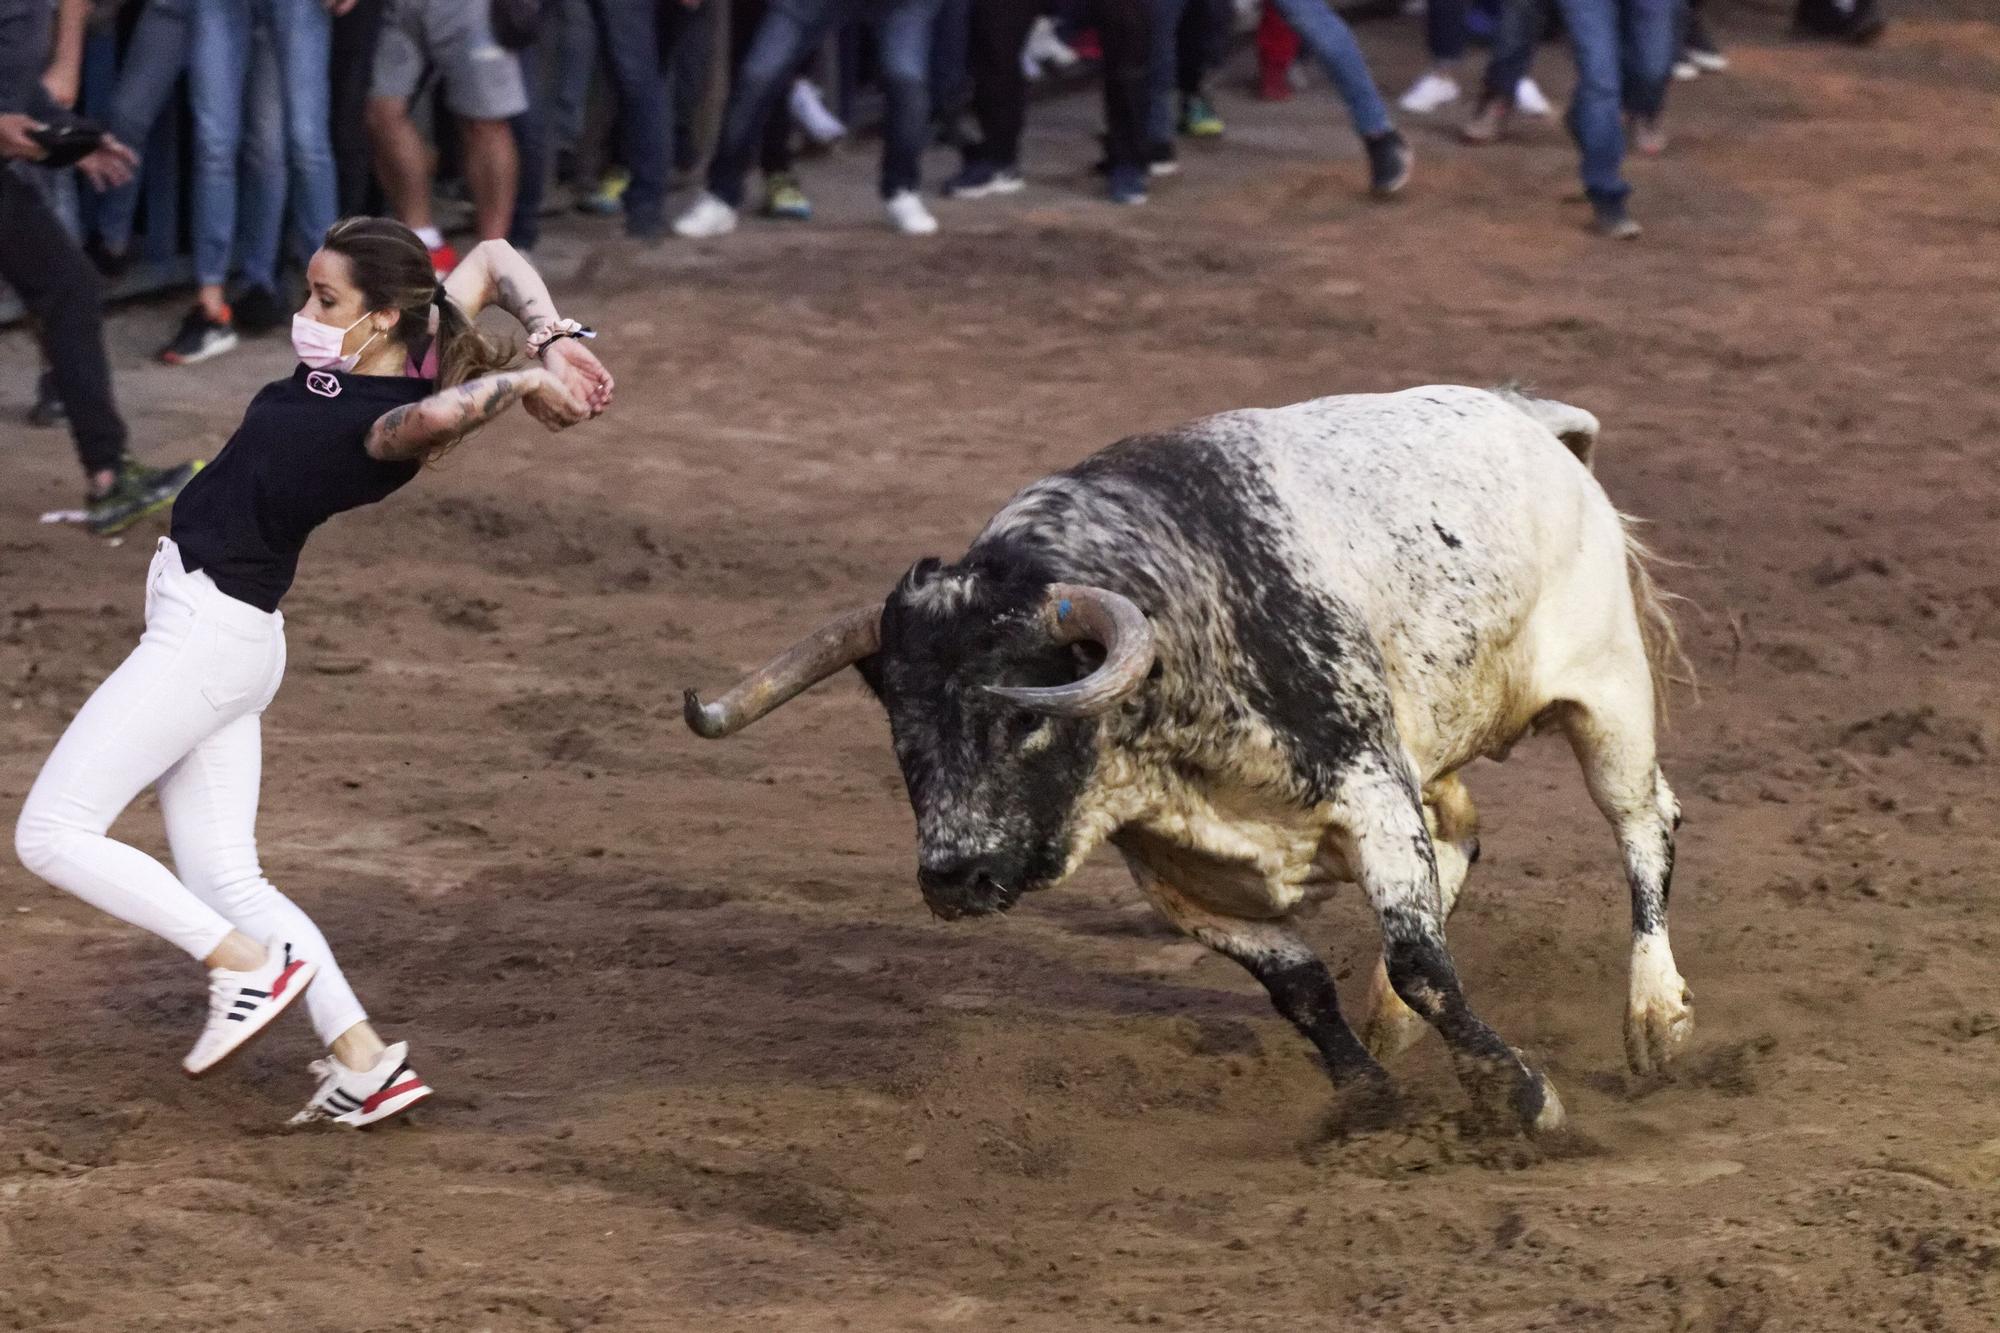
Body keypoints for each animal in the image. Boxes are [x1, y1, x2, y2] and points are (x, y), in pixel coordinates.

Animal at [684, 384, 1688, 1128]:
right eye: (903, 728)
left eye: (1022, 719)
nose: (953, 876)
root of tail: (1532, 420)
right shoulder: (1171, 868)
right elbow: (1297, 984)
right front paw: (1367, 1097)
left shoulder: (1368, 786)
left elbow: (1421, 961)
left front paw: (1519, 1094)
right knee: (1465, 838)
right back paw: (1392, 1023)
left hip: (1608, 696)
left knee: (1644, 826)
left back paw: (1656, 1020)